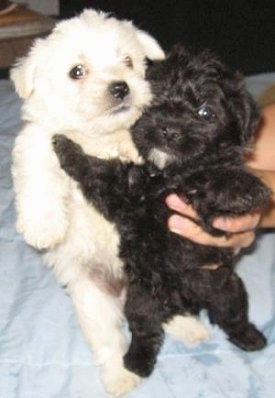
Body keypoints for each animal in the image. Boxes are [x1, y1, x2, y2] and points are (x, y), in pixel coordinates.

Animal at [10, 7, 209, 396]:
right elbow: (39, 165)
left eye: (128, 61)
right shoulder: (41, 139)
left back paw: (189, 327)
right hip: (92, 296)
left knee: (165, 309)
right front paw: (43, 227)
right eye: (77, 71)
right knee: (108, 337)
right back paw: (120, 376)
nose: (120, 86)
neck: (99, 138)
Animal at [53, 45, 272, 376]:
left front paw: (244, 187)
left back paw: (250, 337)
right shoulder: (124, 193)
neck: (170, 176)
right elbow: (99, 171)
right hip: (141, 297)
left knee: (231, 316)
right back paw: (137, 361)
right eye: (154, 101)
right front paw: (66, 145)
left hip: (227, 287)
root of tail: (181, 300)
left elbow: (217, 175)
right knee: (145, 329)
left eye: (205, 113)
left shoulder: (211, 218)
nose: (168, 129)